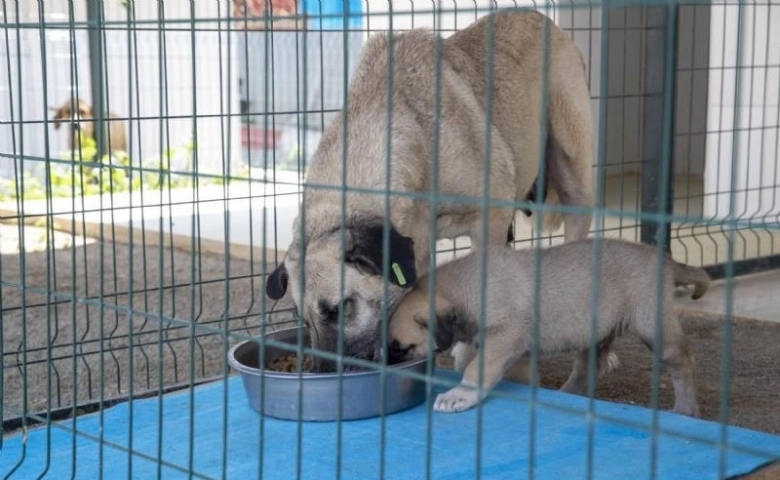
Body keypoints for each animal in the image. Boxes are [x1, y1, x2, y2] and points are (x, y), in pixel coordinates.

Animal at [266, 10, 596, 372]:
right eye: (303, 319)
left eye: (339, 309)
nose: (321, 373)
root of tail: (543, 19)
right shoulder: (418, 253)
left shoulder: (489, 220)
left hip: (571, 165)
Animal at [386, 240, 708, 416]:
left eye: (404, 348)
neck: (464, 289)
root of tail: (665, 260)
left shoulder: (505, 336)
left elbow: (478, 367)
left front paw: (461, 394)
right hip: (596, 329)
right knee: (588, 367)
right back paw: (569, 393)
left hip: (652, 324)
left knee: (682, 361)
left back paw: (686, 408)